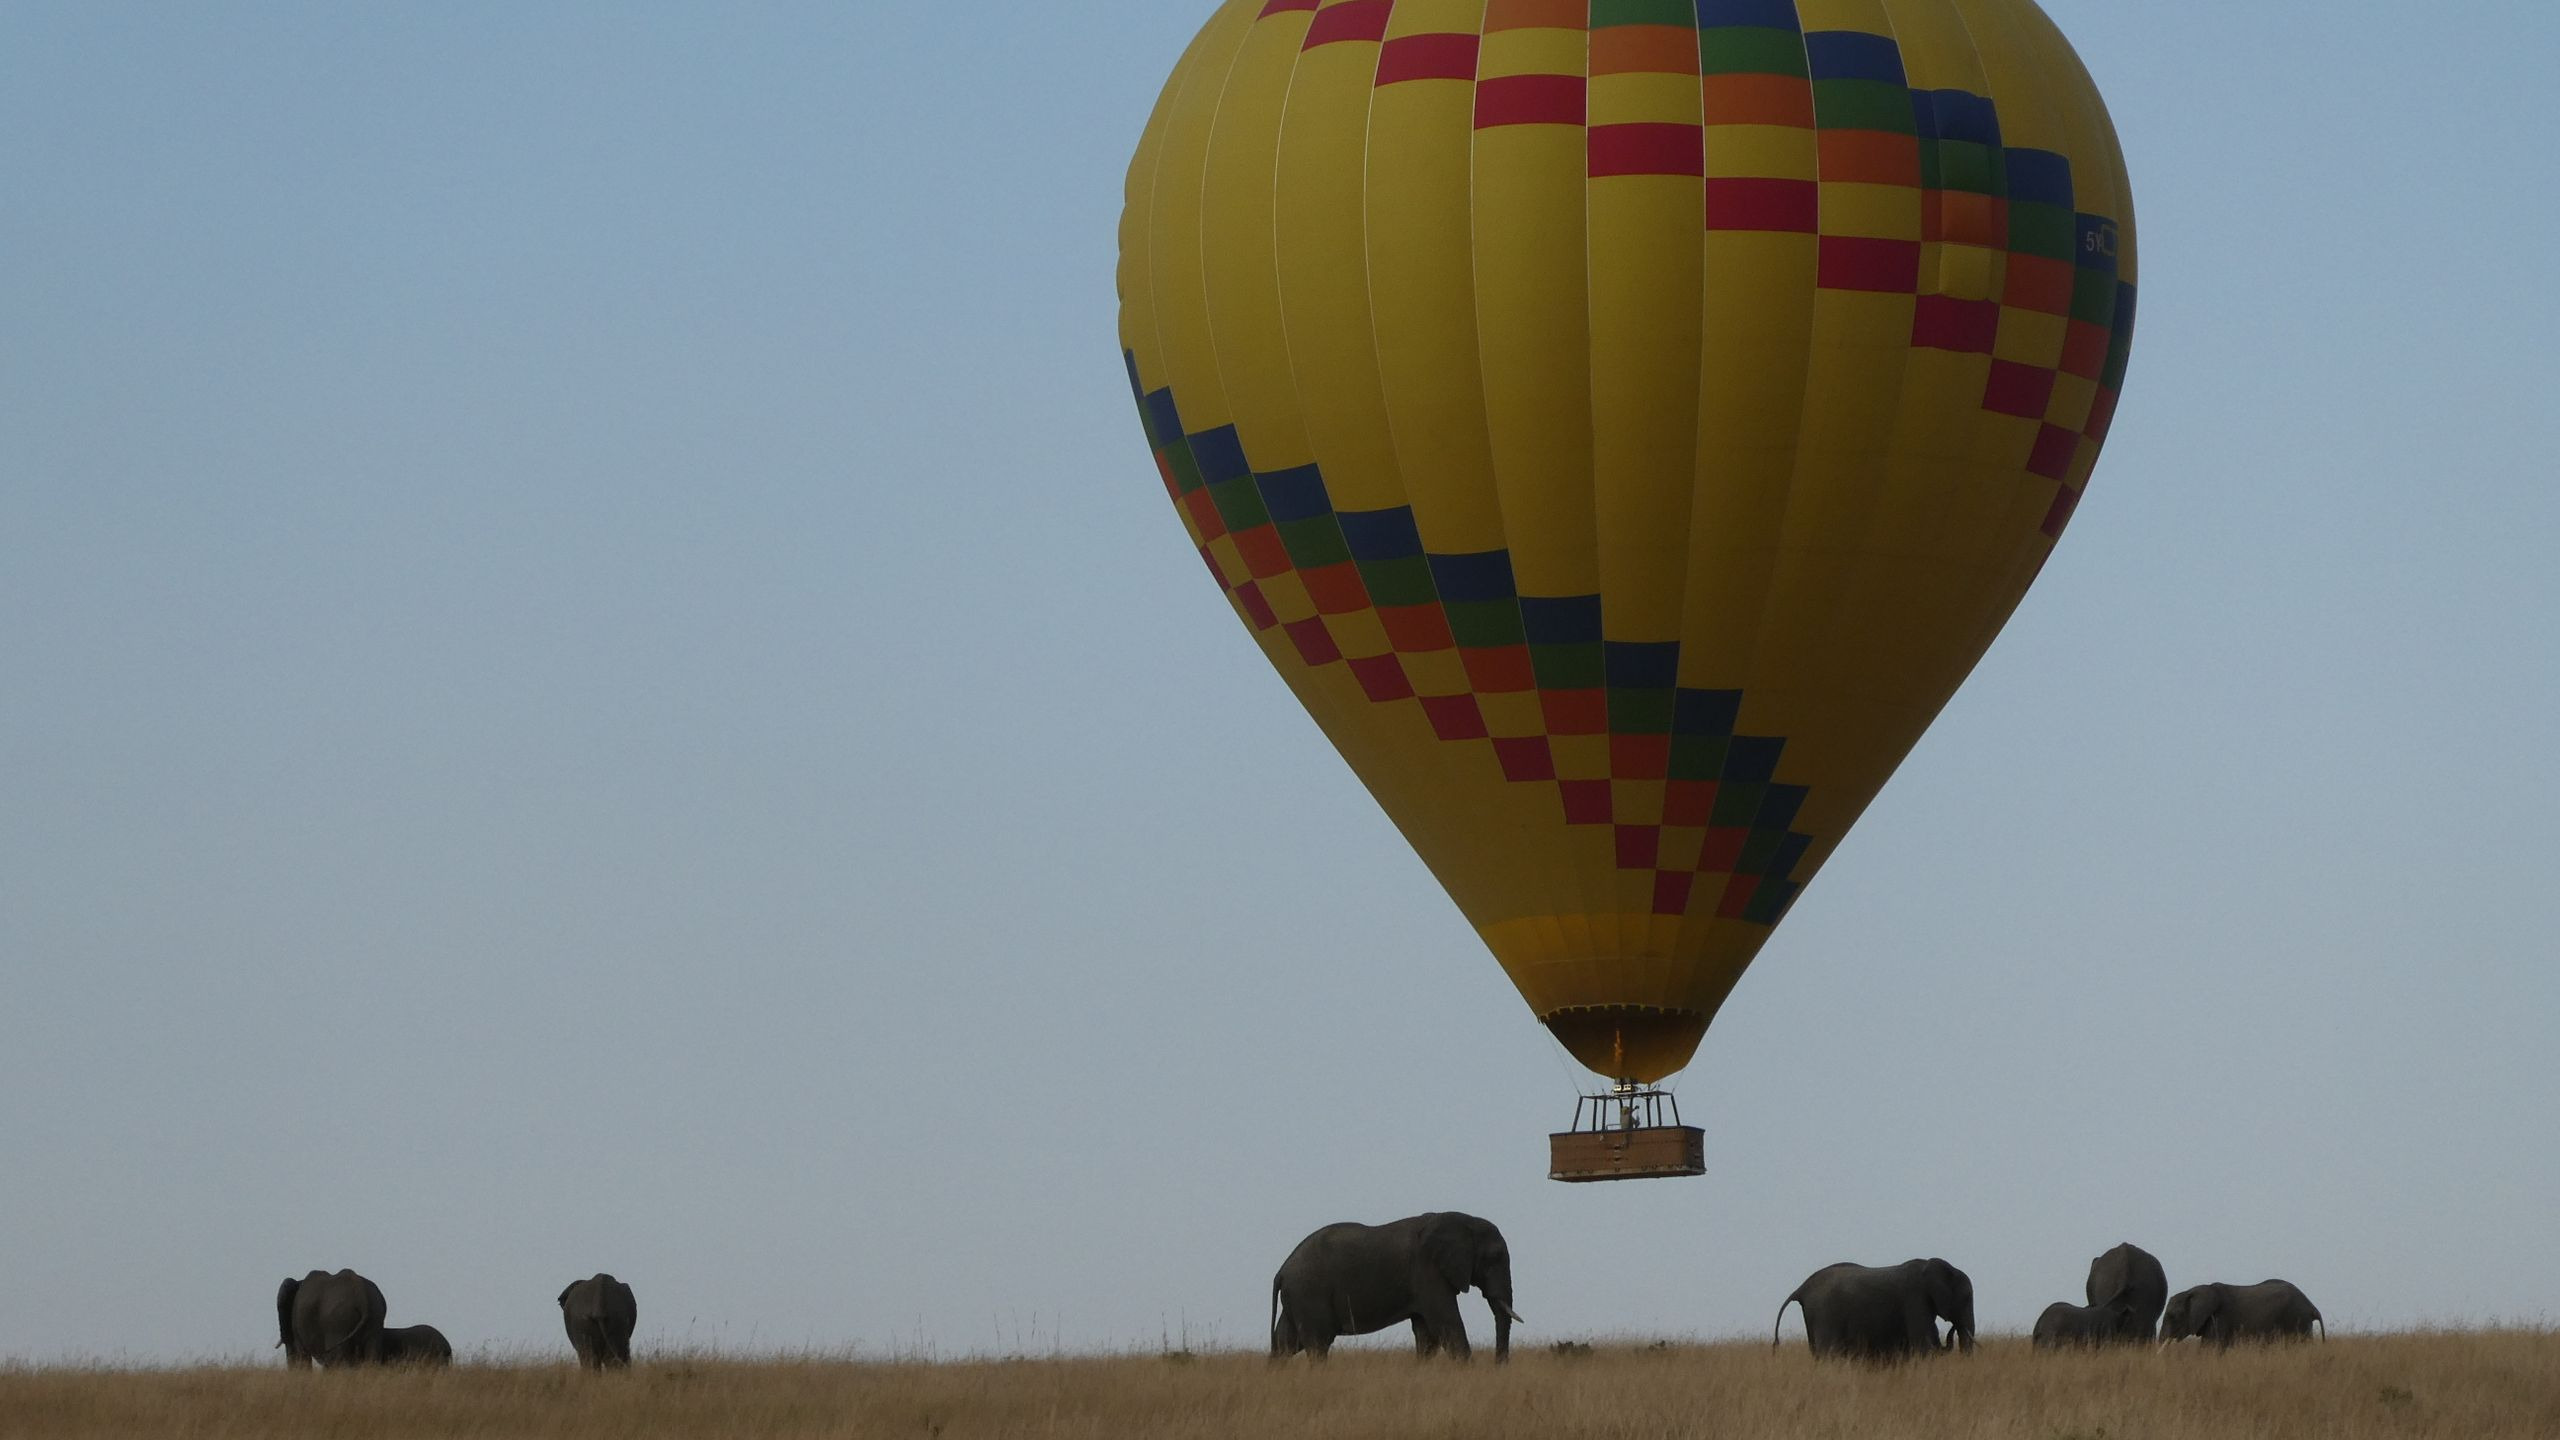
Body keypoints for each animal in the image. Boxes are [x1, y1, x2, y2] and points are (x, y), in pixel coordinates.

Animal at [1270, 1212, 1520, 1362]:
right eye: (1495, 1258)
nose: (1498, 1366)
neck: (1463, 1220)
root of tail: (1281, 1271)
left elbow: (1427, 1333)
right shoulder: (1427, 1270)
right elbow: (1446, 1323)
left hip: (1298, 1297)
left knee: (1285, 1342)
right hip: (1309, 1292)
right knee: (1317, 1344)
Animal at [1772, 1259, 1976, 1360]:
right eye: (1966, 1299)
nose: (1953, 1327)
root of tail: (1802, 1288)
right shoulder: (1915, 1298)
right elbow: (1923, 1342)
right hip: (1826, 1313)